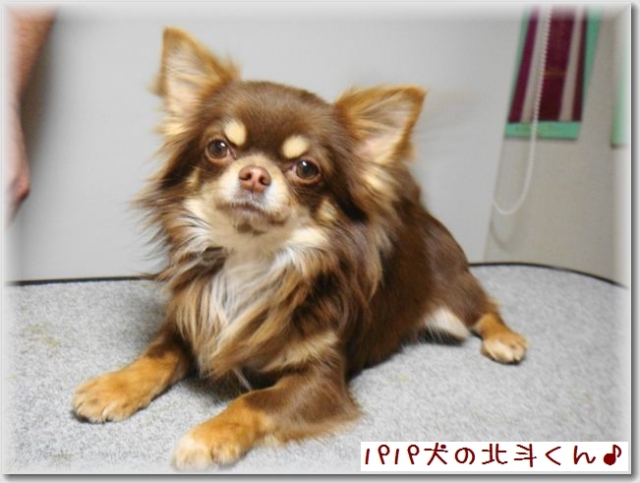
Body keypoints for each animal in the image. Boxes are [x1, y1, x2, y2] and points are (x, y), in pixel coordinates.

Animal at [73, 27, 528, 470]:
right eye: (218, 147)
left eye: (306, 168)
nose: (255, 174)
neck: (254, 259)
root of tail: (419, 209)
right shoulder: (192, 321)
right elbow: (156, 355)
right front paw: (114, 386)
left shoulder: (320, 379)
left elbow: (254, 401)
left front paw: (209, 436)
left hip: (453, 297)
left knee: (484, 308)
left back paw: (505, 340)